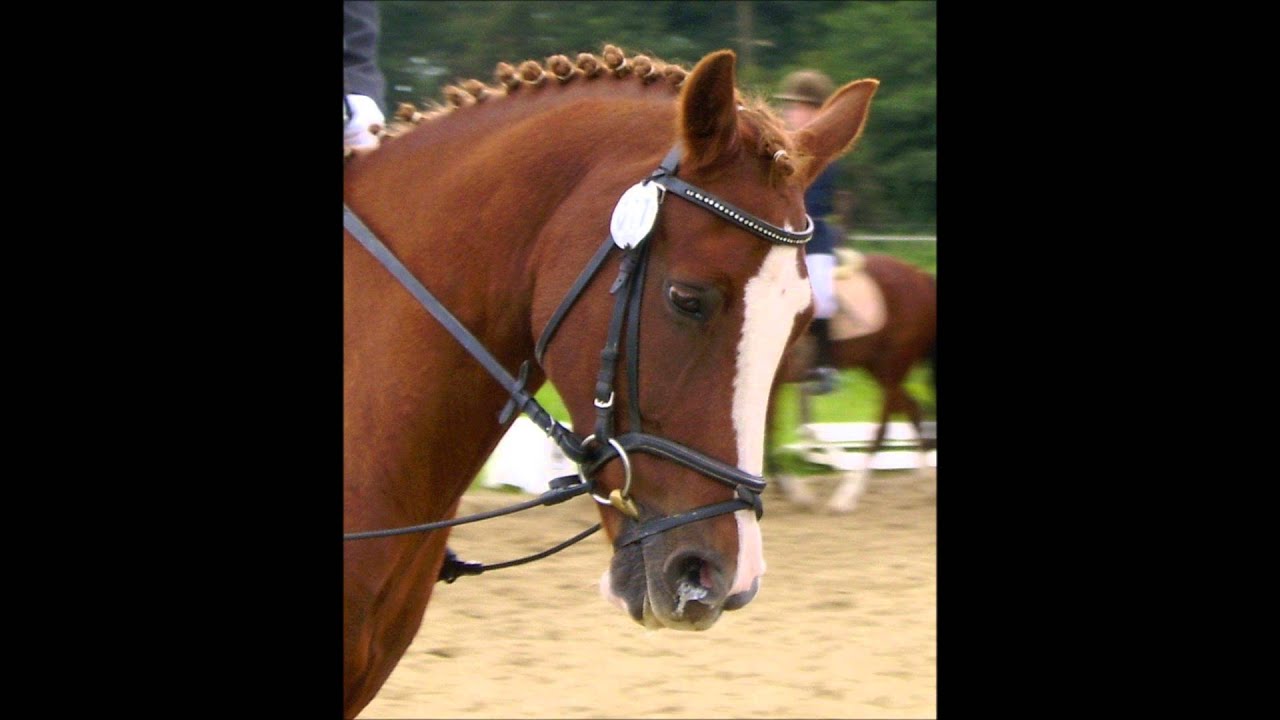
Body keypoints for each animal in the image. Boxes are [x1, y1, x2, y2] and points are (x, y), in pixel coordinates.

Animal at [769, 251, 936, 513]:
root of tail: (920, 276)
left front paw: (795, 491)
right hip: (877, 367)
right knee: (912, 408)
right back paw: (925, 479)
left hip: (892, 364)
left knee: (883, 426)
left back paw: (847, 495)